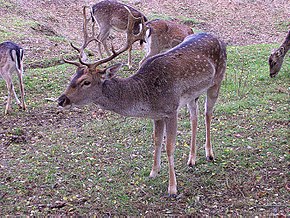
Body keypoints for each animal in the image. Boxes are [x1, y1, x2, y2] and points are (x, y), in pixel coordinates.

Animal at [58, 8, 227, 196]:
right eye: (73, 76)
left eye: (86, 81)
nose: (61, 99)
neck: (147, 97)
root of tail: (219, 38)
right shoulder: (157, 115)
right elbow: (156, 140)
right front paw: (154, 172)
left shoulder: (171, 109)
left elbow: (169, 146)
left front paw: (172, 188)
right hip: (192, 95)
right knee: (194, 117)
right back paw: (192, 159)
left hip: (218, 80)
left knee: (208, 113)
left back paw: (209, 154)